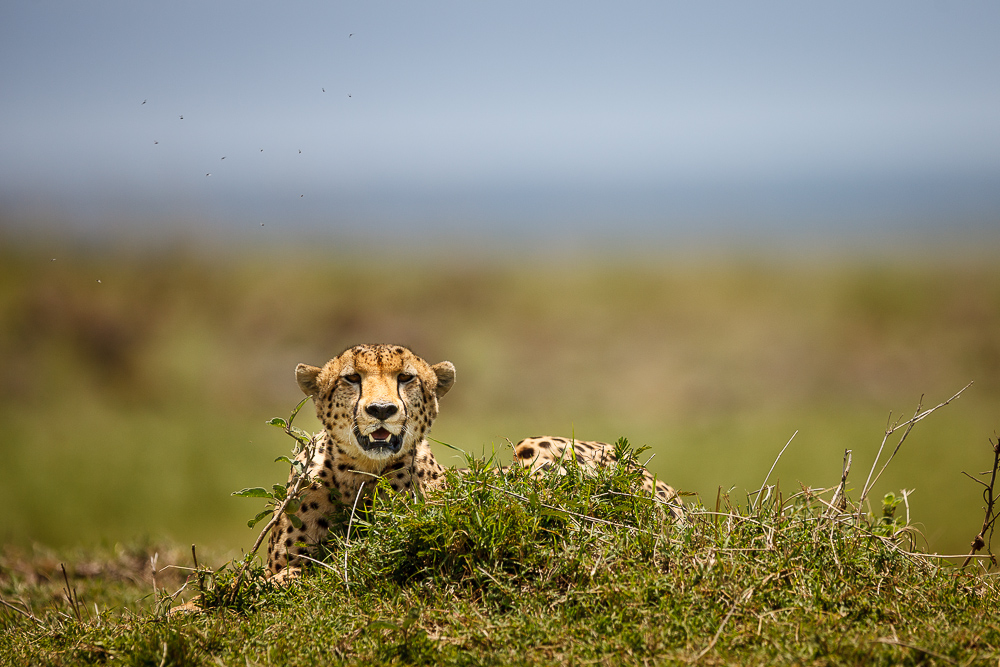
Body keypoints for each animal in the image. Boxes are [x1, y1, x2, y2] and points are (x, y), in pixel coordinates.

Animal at [264, 344, 680, 580]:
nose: (381, 410)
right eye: (352, 378)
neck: (361, 472)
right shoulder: (283, 564)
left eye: (406, 378)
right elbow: (285, 577)